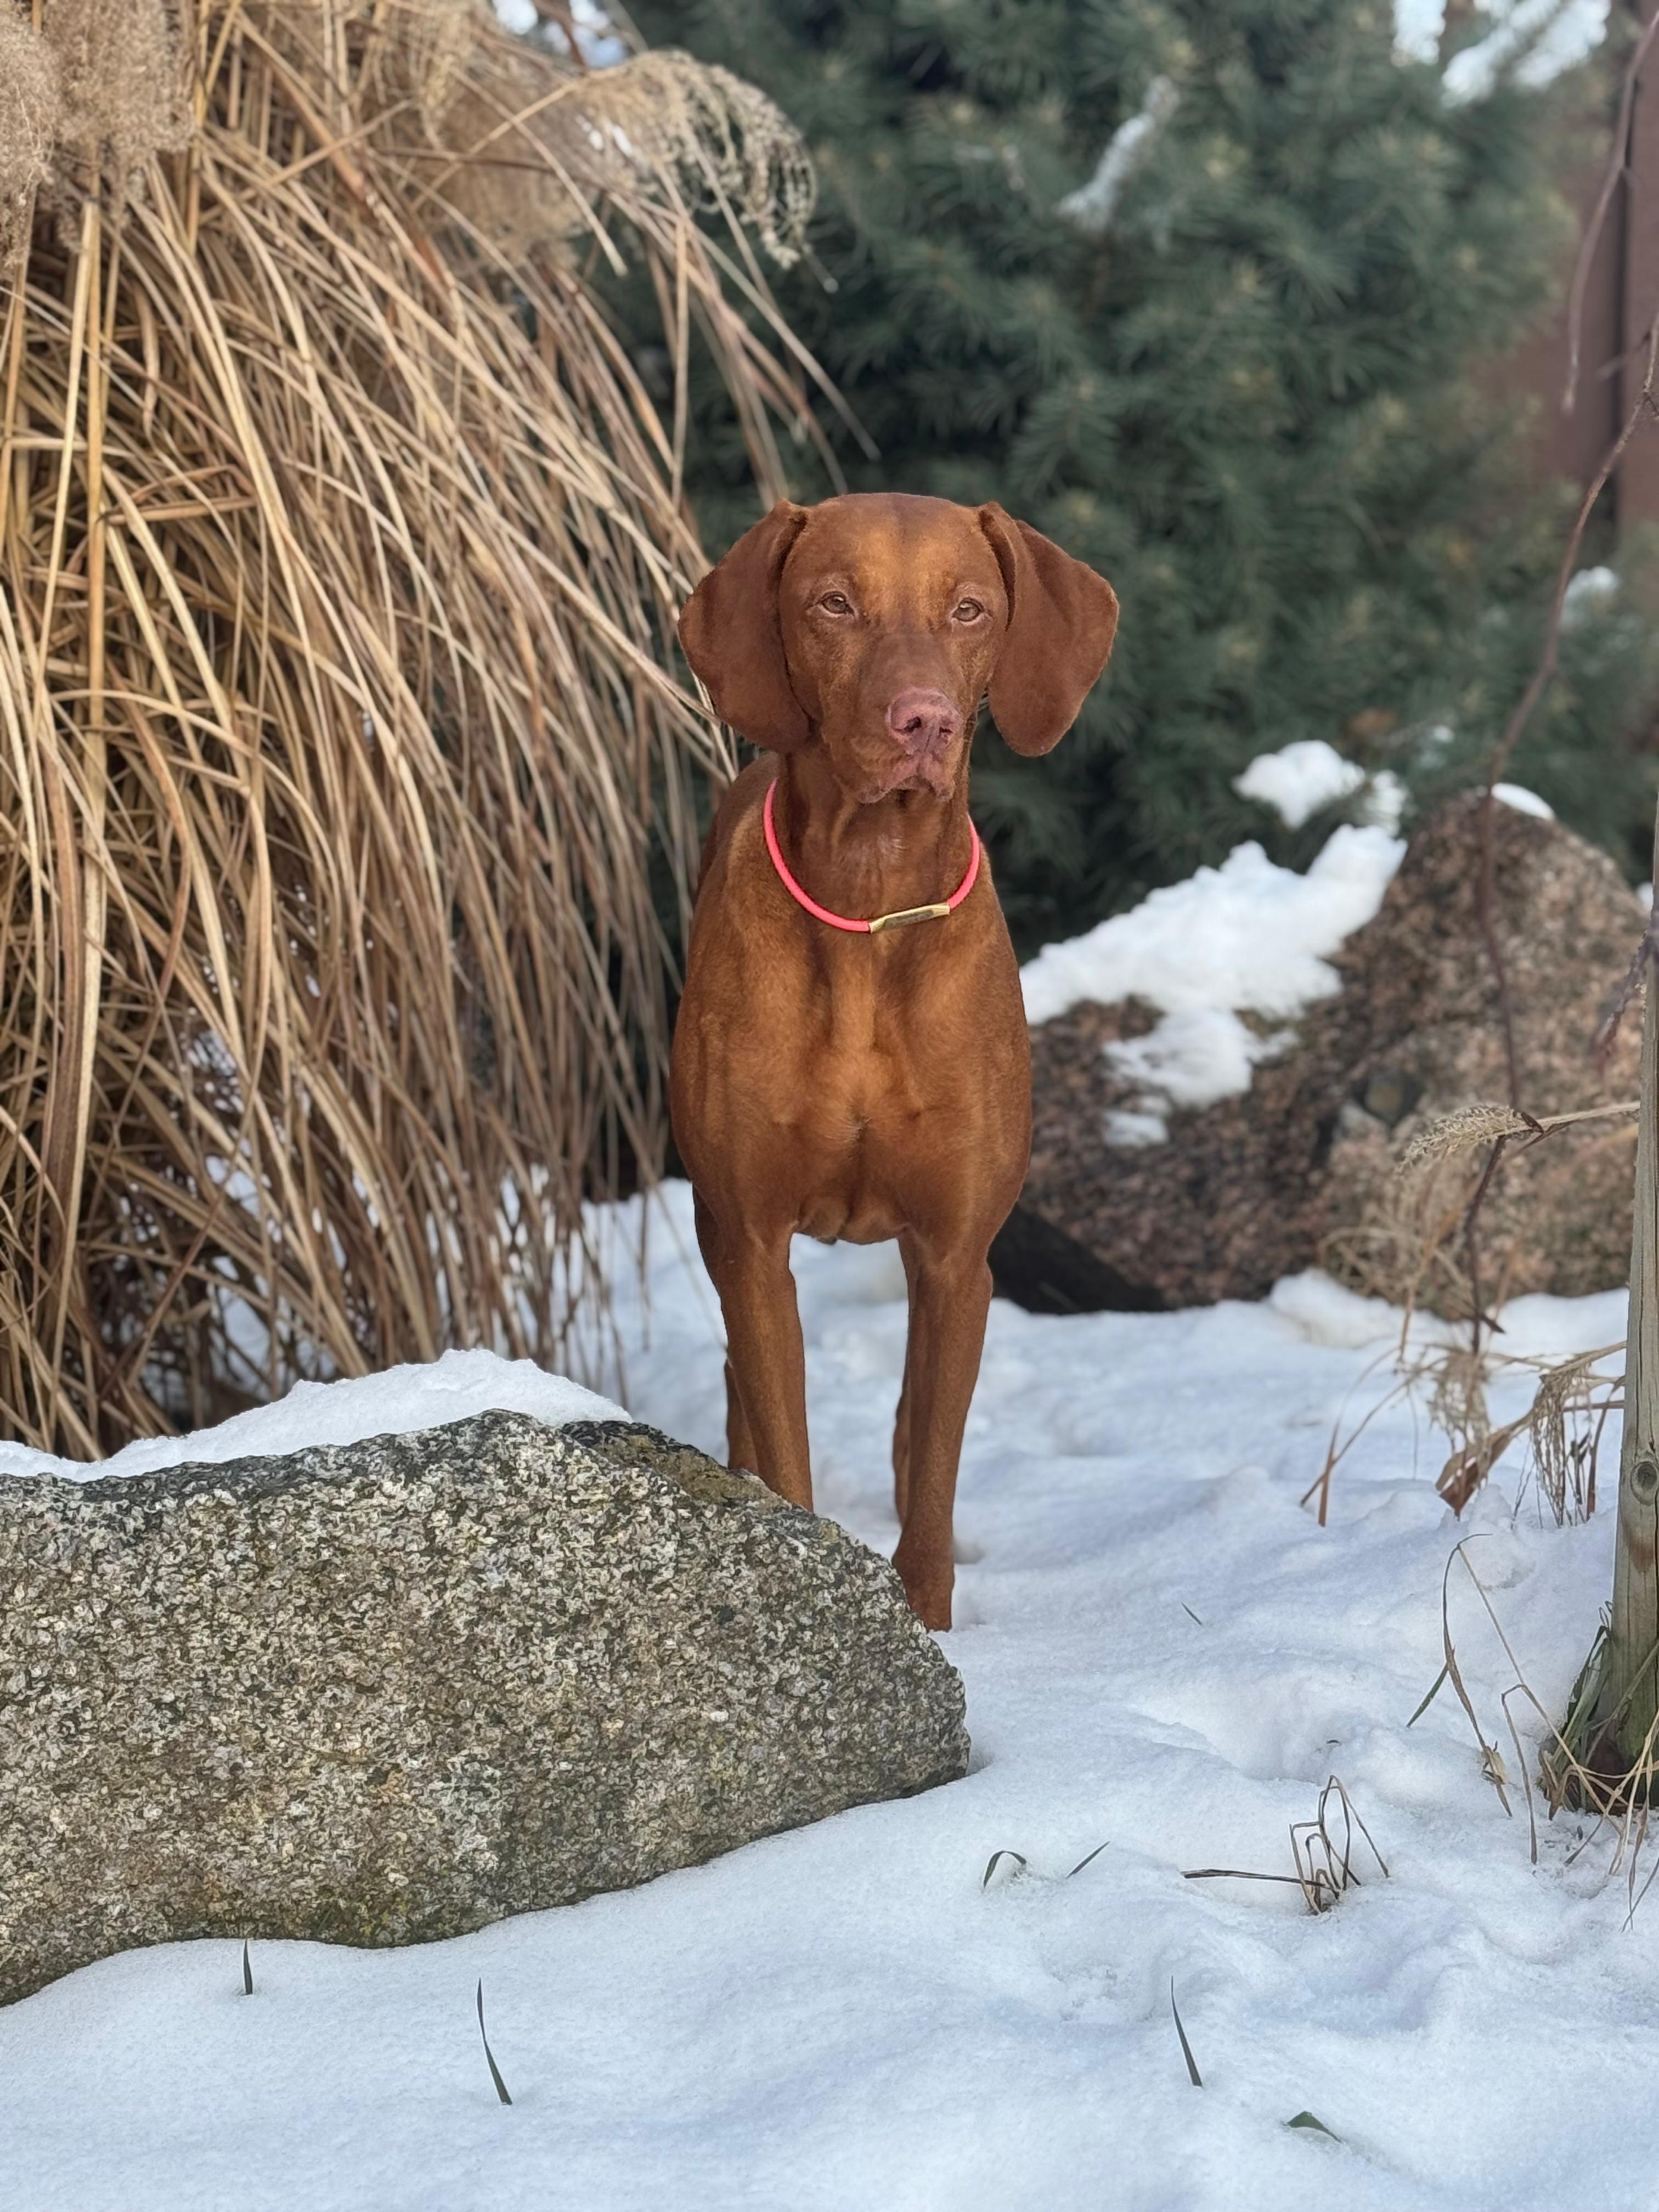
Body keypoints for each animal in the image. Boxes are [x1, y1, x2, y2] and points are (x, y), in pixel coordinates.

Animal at [669, 492, 1118, 1629]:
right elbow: (783, 1445)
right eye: (833, 603)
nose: (924, 721)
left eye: (968, 609)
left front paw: (926, 1619)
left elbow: (930, 1475)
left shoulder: (957, 1257)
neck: (869, 901)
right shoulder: (751, 1240)